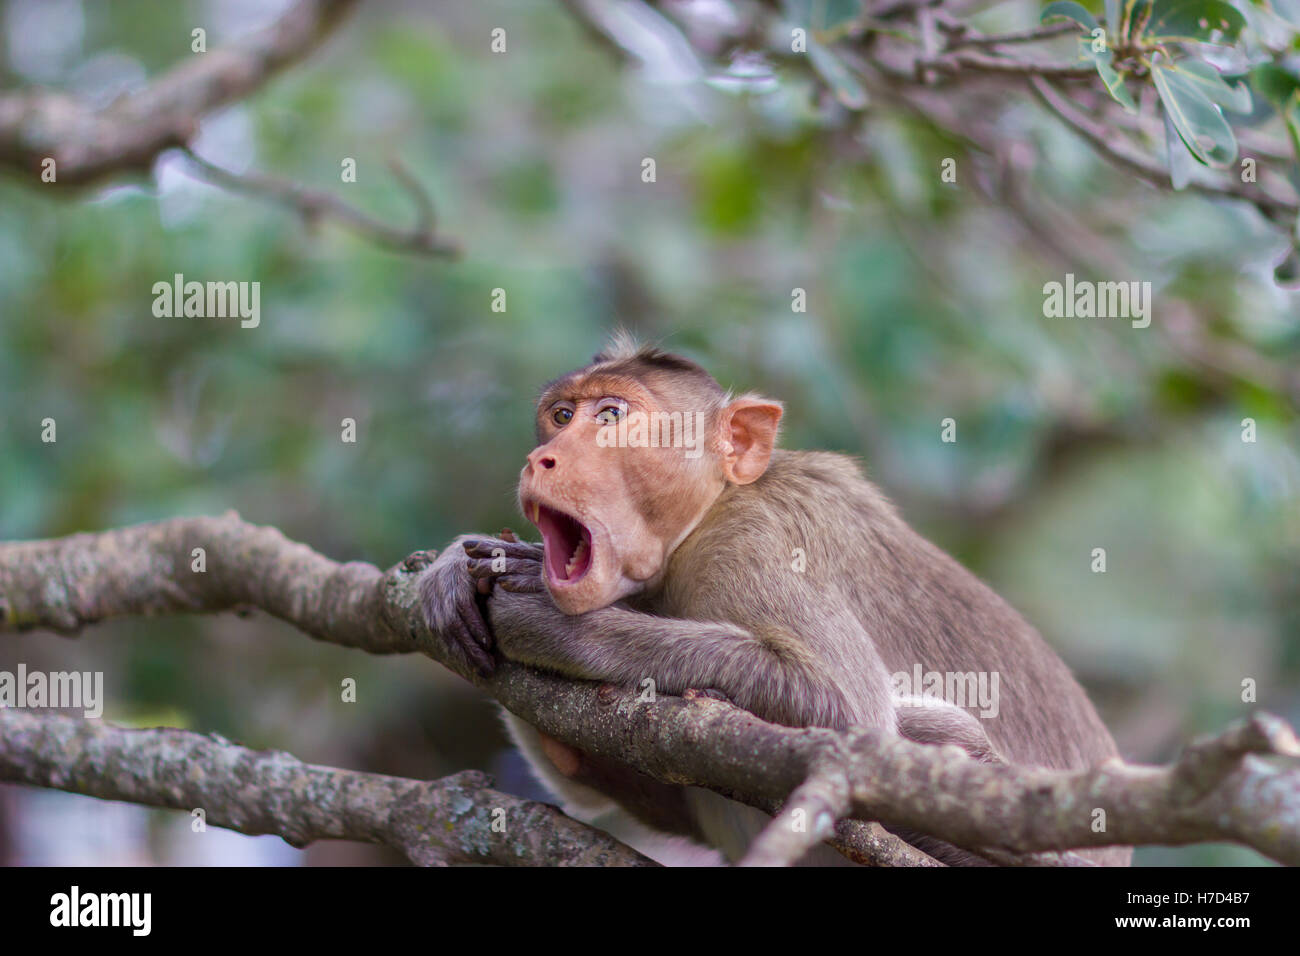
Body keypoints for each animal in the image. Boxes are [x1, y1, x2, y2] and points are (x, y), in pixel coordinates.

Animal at [421, 335, 1133, 868]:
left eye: (612, 417)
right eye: (562, 416)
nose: (542, 458)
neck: (702, 520)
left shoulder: (755, 544)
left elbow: (850, 711)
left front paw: (551, 626)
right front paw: (461, 563)